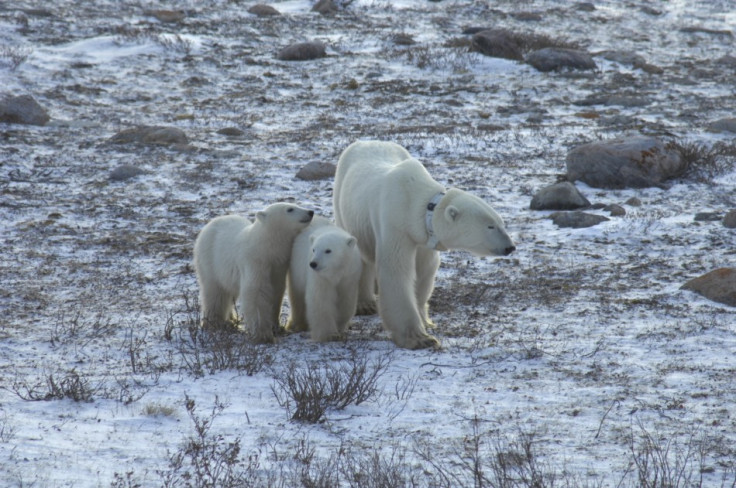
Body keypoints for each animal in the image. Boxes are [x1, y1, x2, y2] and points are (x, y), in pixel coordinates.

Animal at [193, 202, 314, 344]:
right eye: (290, 209)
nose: (310, 212)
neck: (265, 248)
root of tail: (209, 224)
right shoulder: (255, 262)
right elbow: (257, 292)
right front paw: (263, 335)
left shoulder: (278, 266)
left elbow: (275, 293)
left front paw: (276, 327)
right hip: (210, 260)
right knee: (215, 291)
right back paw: (215, 322)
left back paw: (231, 319)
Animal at [334, 139, 516, 348]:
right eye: (490, 226)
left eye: (501, 223)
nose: (510, 247)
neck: (415, 200)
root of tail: (367, 141)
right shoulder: (395, 224)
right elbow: (396, 270)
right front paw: (419, 338)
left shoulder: (423, 237)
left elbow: (424, 271)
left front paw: (426, 320)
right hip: (341, 200)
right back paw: (365, 304)